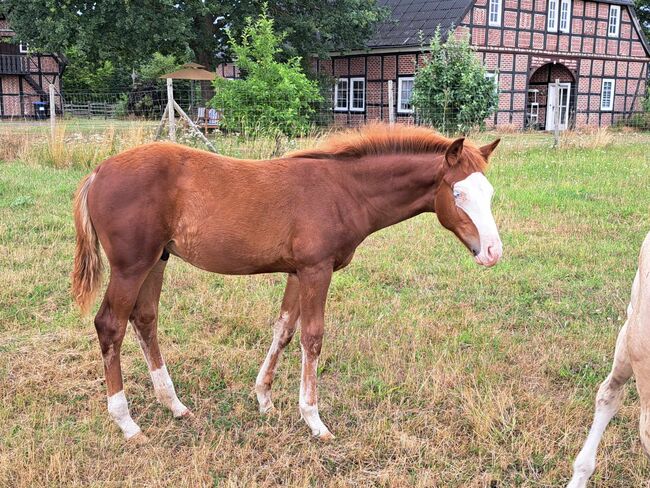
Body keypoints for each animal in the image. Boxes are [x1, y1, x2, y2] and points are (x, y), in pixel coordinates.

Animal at [72, 124, 502, 440]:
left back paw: (174, 405)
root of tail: (98, 172)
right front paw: (314, 420)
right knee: (110, 325)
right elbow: (312, 337)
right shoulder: (316, 270)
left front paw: (264, 398)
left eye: (490, 193)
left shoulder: (298, 271)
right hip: (131, 265)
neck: (342, 191)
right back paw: (127, 422)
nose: (492, 251)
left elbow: (283, 330)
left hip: (157, 260)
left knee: (144, 319)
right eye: (458, 193)